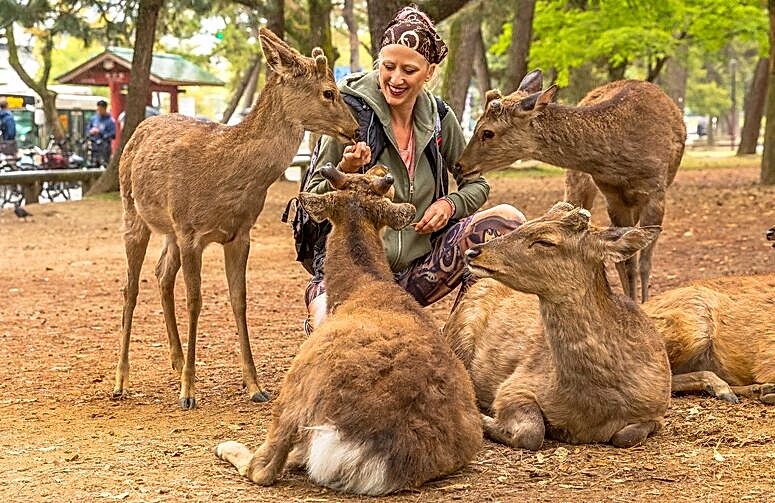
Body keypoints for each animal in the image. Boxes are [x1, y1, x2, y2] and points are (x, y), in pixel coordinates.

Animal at [112, 28, 359, 410]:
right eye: (328, 92)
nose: (356, 128)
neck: (225, 175)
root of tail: (139, 129)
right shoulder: (190, 231)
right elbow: (196, 301)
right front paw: (189, 392)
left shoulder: (240, 233)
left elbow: (239, 299)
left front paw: (255, 385)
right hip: (133, 213)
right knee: (131, 286)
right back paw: (122, 381)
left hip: (168, 231)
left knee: (162, 274)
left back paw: (177, 360)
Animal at [215, 165, 482, 495]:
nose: (381, 168)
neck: (359, 286)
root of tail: (374, 455)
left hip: (298, 386)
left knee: (264, 466)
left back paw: (227, 446)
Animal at [443, 201, 671, 450]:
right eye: (525, 224)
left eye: (545, 241)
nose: (473, 252)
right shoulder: (514, 385)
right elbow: (532, 432)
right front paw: (486, 419)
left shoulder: (658, 409)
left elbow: (626, 436)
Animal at [456, 69, 686, 302]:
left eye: (487, 132)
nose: (459, 166)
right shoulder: (612, 195)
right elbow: (627, 260)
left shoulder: (655, 191)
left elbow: (644, 262)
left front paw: (644, 302)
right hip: (577, 183)